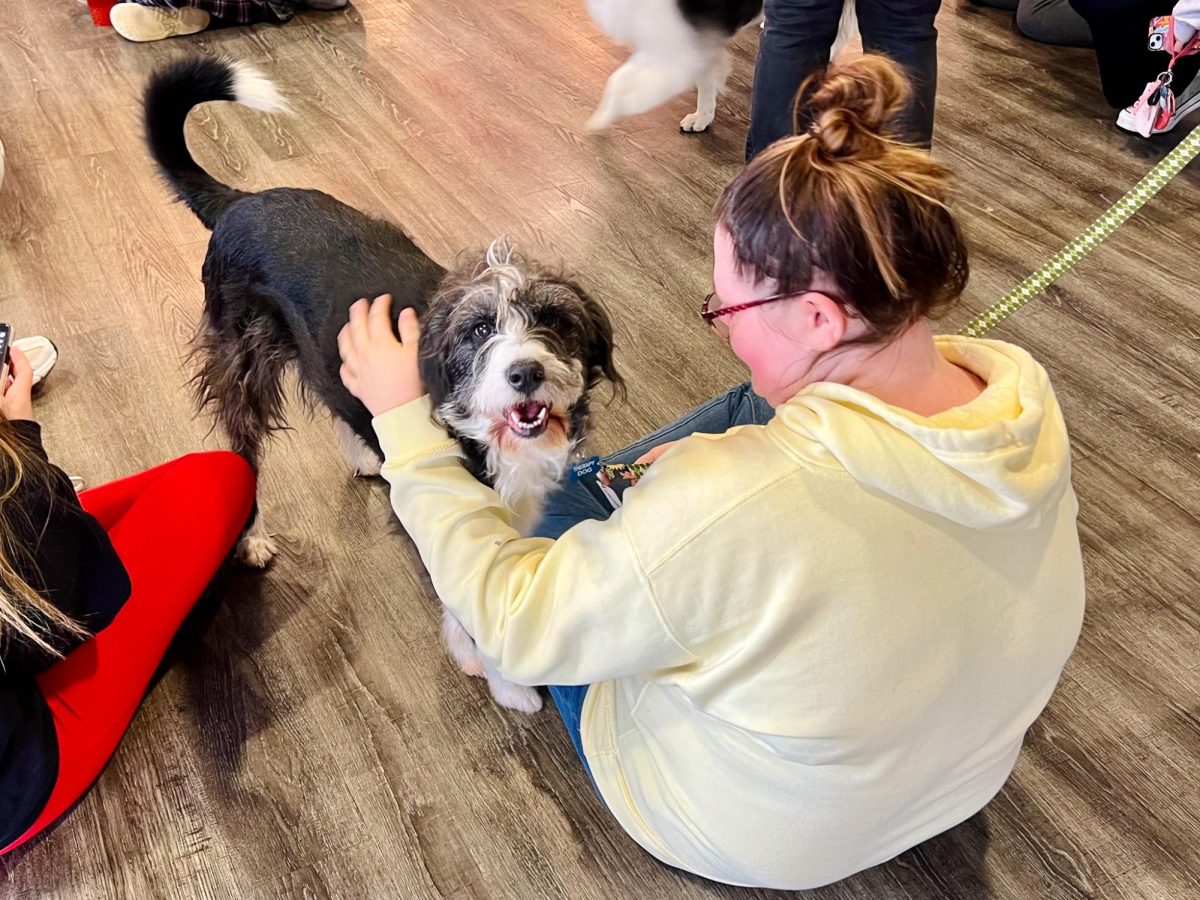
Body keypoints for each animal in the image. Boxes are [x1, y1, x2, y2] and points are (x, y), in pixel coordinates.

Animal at [145, 60, 624, 715]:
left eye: (554, 320)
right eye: (479, 329)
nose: (526, 372)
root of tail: (241, 201)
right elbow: (474, 599)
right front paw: (505, 682)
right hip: (243, 362)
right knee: (243, 447)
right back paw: (254, 537)